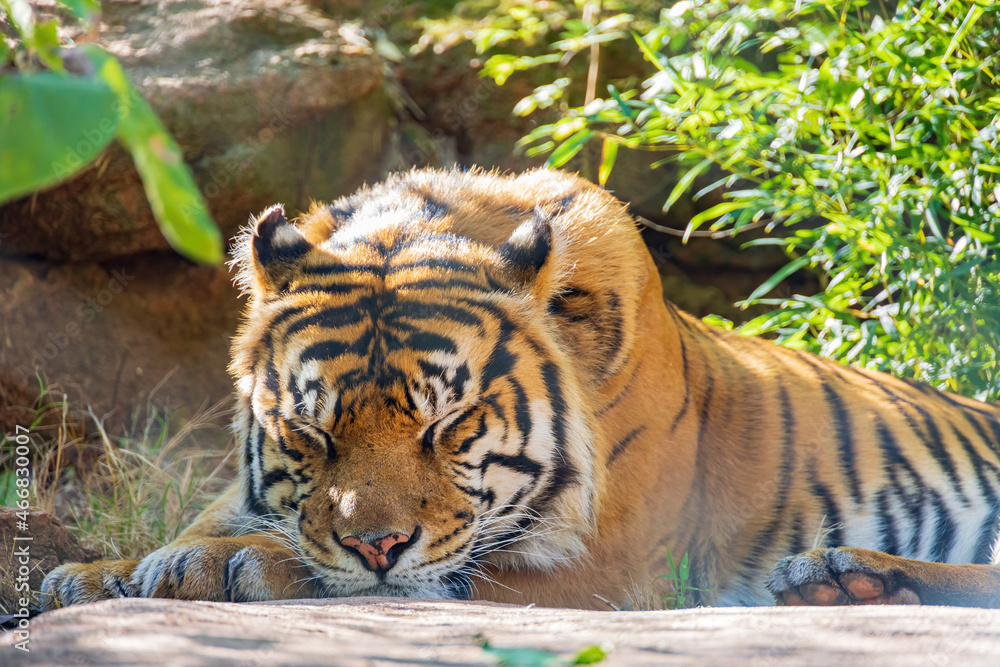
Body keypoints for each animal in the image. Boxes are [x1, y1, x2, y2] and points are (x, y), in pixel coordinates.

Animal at [42, 168, 1000, 611]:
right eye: (310, 433)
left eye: (450, 423)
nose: (376, 543)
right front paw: (96, 572)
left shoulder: (608, 565)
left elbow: (416, 578)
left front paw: (234, 563)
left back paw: (850, 577)